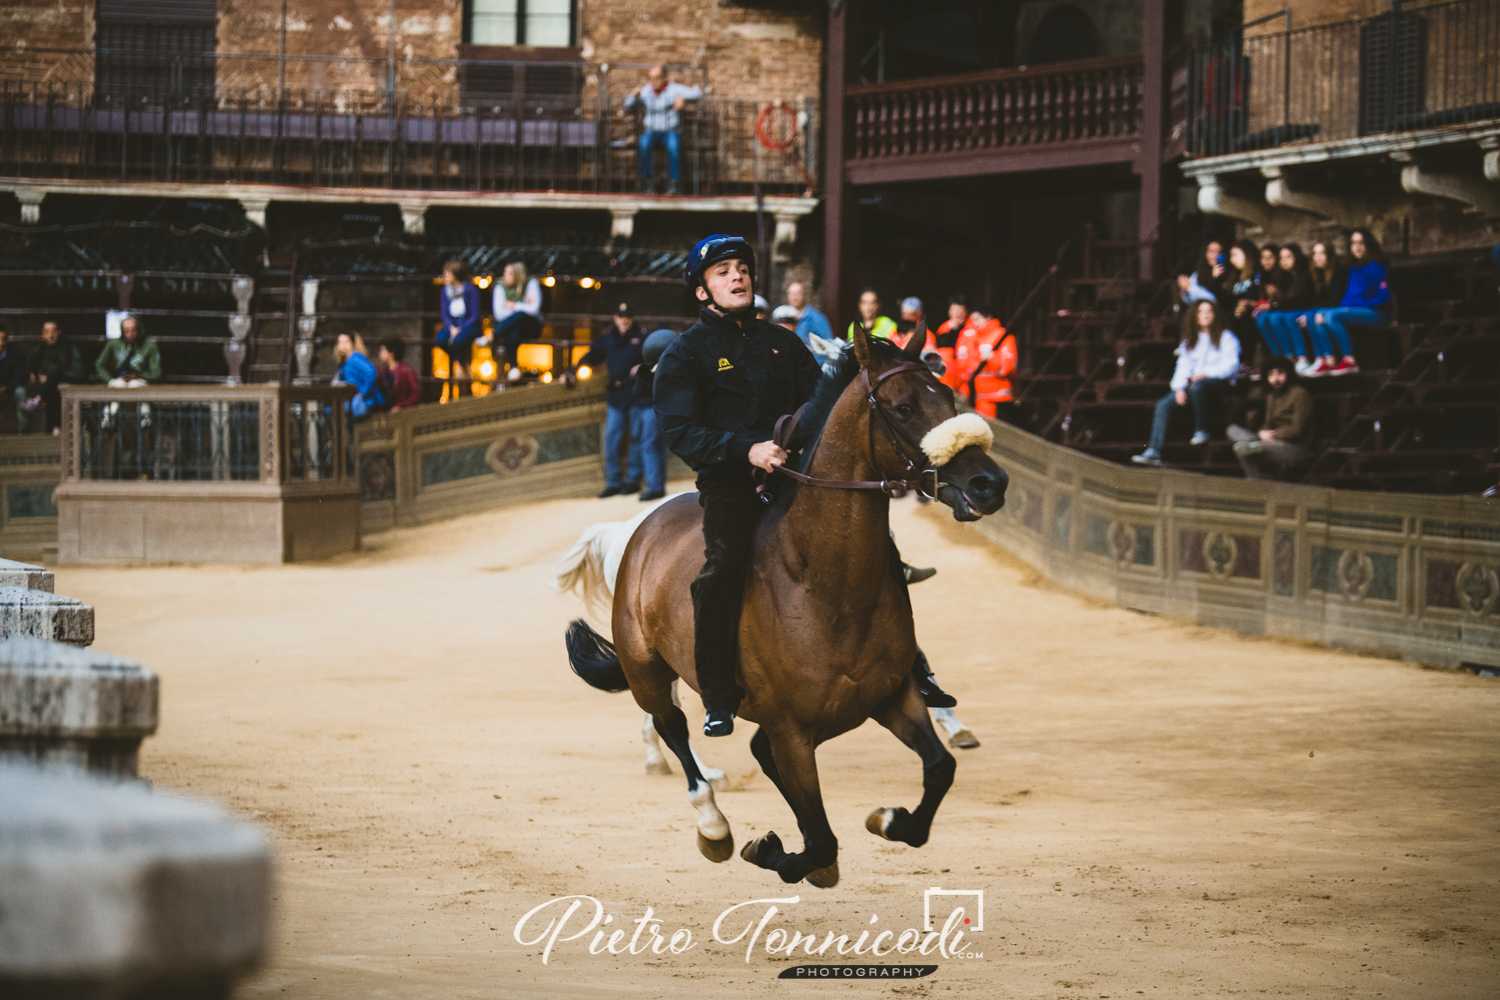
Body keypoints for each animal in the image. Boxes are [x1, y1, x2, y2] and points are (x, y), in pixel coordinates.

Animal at [564, 320, 1008, 881]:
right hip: (647, 672)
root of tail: (643, 528)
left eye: (949, 396)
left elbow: (939, 770)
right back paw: (711, 819)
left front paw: (891, 819)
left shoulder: (892, 696)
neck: (825, 585)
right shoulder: (791, 730)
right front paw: (773, 849)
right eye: (905, 406)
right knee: (674, 730)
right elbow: (818, 843)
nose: (989, 482)